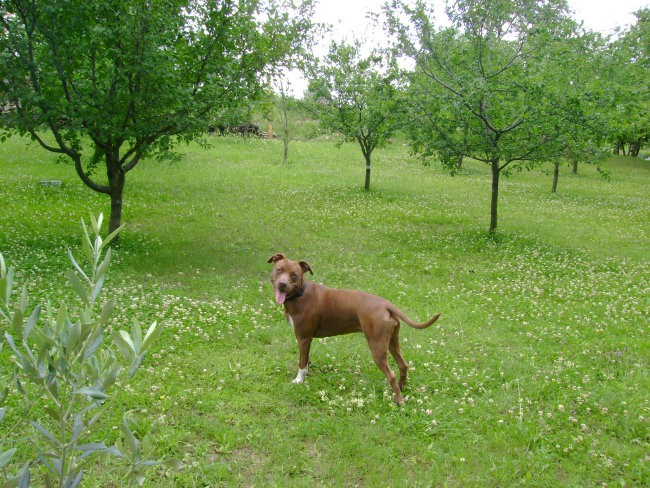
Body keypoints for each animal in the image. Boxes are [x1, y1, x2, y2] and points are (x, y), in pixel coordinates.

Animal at [266, 254, 438, 406]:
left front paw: (299, 380)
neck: (300, 293)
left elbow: (301, 363)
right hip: (392, 342)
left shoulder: (303, 337)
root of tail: (386, 304)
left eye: (295, 275)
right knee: (403, 365)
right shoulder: (307, 339)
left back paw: (399, 400)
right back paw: (401, 389)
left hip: (377, 347)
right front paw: (307, 374)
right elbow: (306, 359)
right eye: (279, 270)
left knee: (391, 375)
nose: (282, 284)